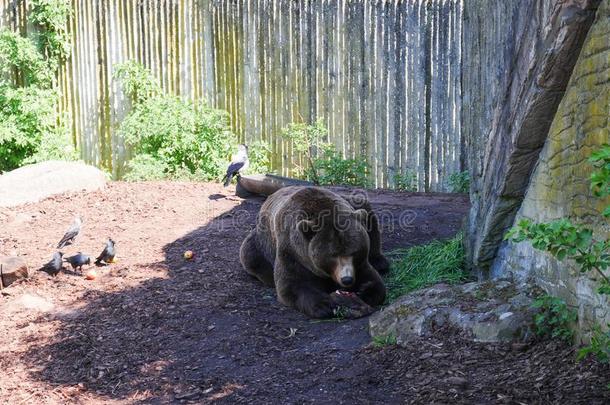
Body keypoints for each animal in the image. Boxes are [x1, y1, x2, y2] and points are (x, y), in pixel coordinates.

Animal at [240, 185, 388, 318]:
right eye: (333, 255)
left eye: (353, 252)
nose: (347, 279)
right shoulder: (292, 251)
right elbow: (294, 284)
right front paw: (324, 305)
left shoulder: (358, 263)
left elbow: (373, 280)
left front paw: (364, 291)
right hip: (260, 243)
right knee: (250, 255)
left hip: (355, 205)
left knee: (366, 211)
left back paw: (379, 262)